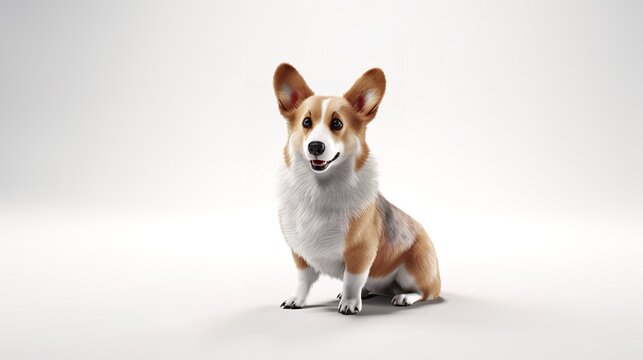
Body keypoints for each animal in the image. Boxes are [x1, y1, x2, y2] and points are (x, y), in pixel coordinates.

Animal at [274, 63, 440, 314]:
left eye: (337, 123)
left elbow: (352, 280)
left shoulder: (360, 252)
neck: (320, 188)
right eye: (306, 122)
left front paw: (350, 304)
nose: (315, 147)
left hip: (414, 268)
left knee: (426, 292)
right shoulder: (301, 254)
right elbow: (303, 280)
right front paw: (296, 300)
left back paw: (404, 297)